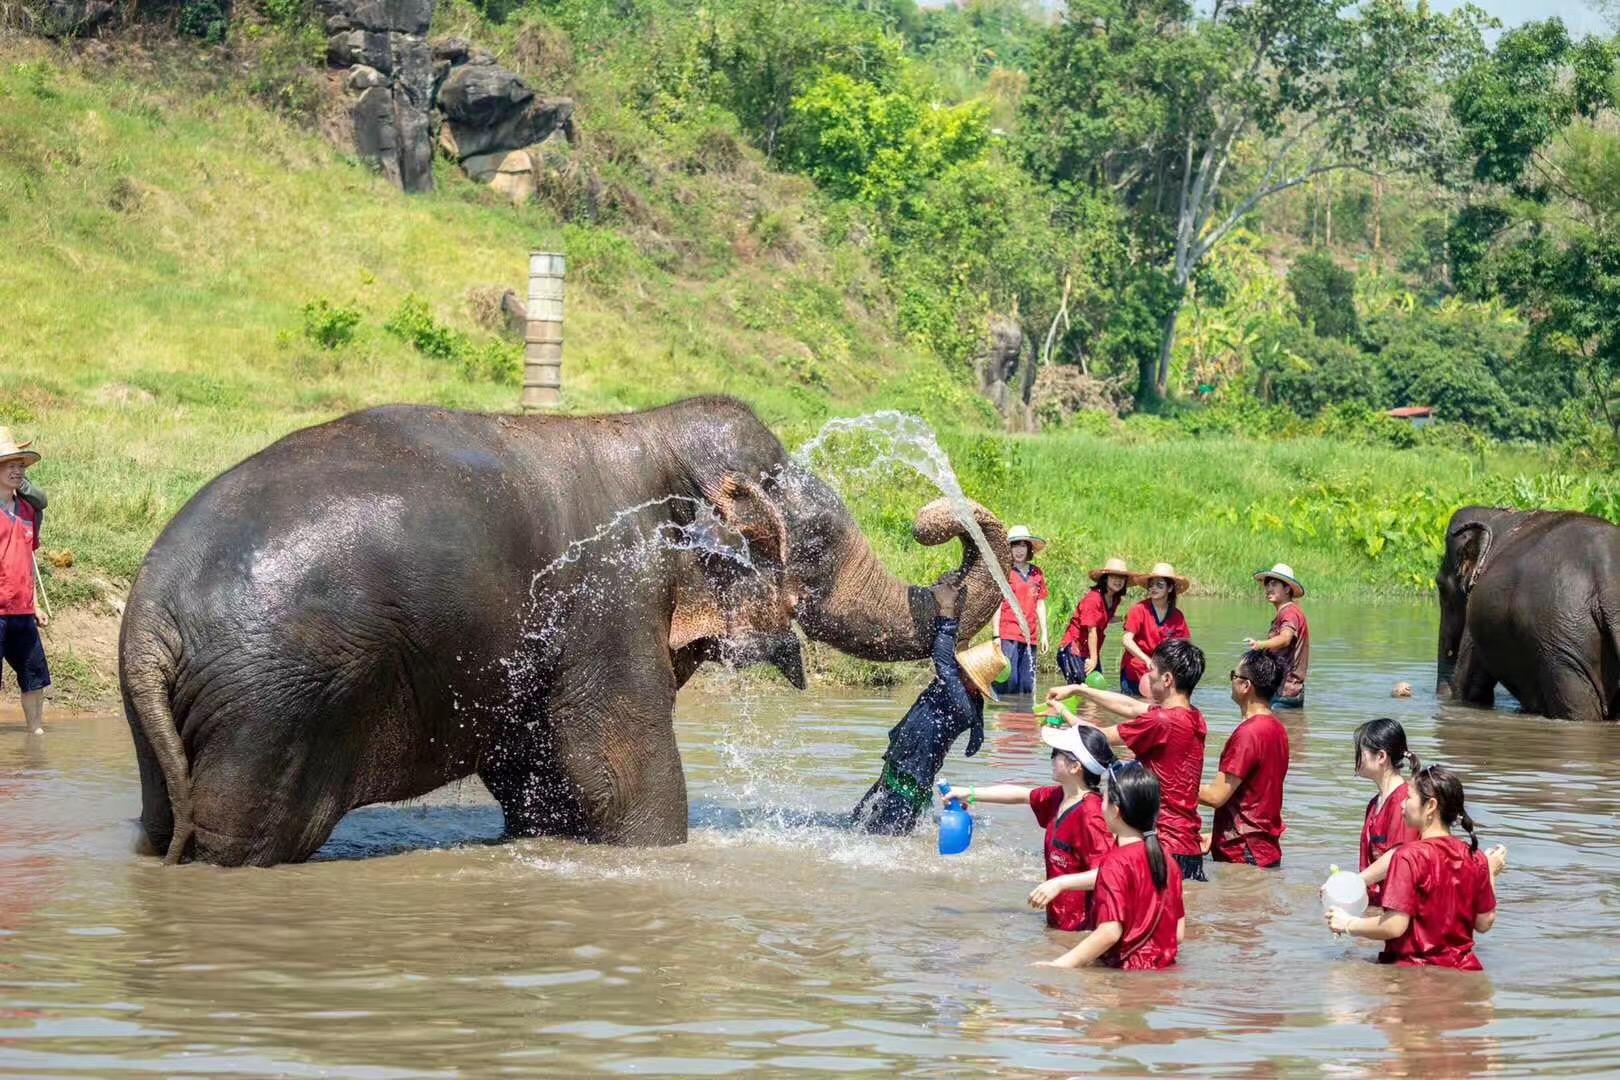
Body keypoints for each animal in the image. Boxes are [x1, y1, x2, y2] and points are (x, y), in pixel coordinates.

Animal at [123, 399, 1010, 867]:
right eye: (817, 545)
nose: (947, 516)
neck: (647, 433)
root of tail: (149, 623)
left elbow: (544, 778)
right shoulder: (608, 600)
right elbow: (618, 773)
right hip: (274, 706)